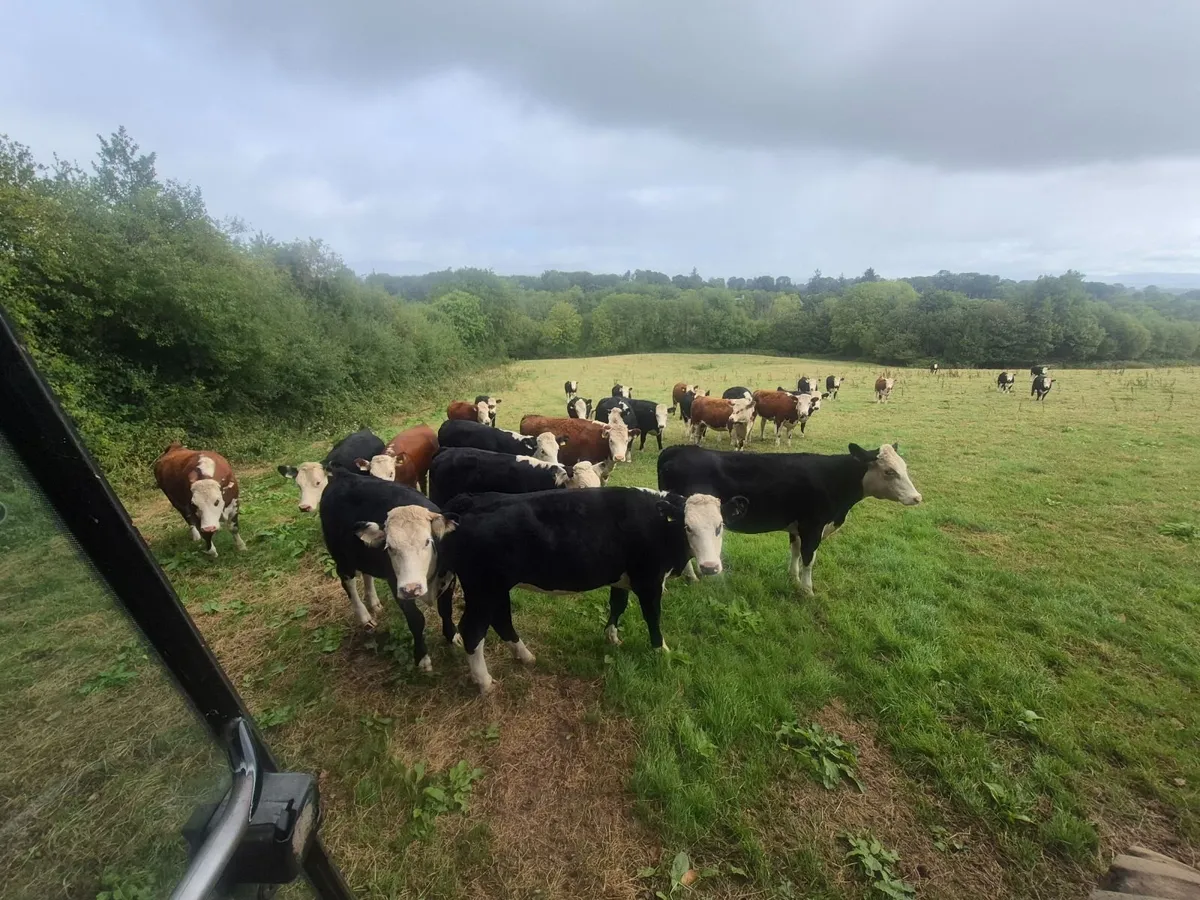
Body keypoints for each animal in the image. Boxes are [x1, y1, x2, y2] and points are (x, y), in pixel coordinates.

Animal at [319, 471, 456, 668]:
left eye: (427, 542)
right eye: (389, 547)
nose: (412, 588)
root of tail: (343, 475)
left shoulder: (449, 578)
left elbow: (446, 610)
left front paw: (453, 636)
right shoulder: (397, 585)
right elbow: (416, 620)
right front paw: (422, 657)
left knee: (367, 575)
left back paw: (374, 602)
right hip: (342, 558)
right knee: (348, 583)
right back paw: (365, 617)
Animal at [437, 487, 748, 693]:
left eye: (720, 526)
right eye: (688, 527)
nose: (710, 567)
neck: (658, 525)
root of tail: (472, 501)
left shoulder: (622, 579)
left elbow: (617, 605)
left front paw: (612, 637)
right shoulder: (648, 581)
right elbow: (653, 616)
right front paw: (662, 650)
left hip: (496, 588)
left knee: (502, 620)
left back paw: (525, 656)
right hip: (483, 589)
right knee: (472, 630)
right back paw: (485, 682)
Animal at [658, 443, 921, 596]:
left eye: (904, 466)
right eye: (889, 471)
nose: (917, 497)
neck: (832, 478)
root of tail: (677, 449)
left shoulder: (797, 527)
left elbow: (795, 551)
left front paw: (793, 577)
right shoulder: (813, 527)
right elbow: (809, 558)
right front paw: (807, 590)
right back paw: (692, 577)